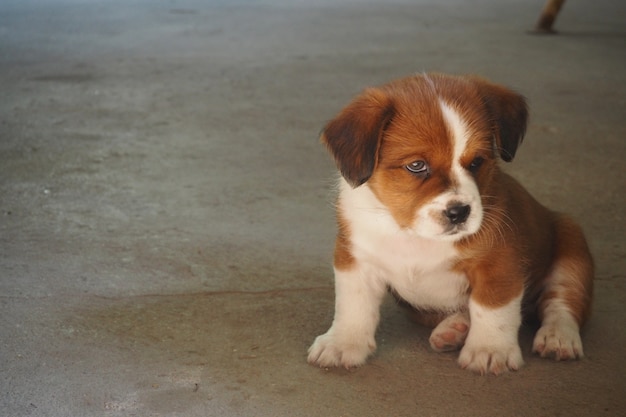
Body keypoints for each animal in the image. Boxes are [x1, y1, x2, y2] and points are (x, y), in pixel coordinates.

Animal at [310, 72, 592, 374]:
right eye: (417, 166)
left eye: (477, 161)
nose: (459, 212)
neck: (413, 234)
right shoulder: (355, 260)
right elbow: (353, 305)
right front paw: (342, 342)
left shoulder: (499, 264)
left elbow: (492, 308)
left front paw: (489, 349)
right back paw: (455, 328)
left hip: (572, 247)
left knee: (562, 303)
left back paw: (557, 337)